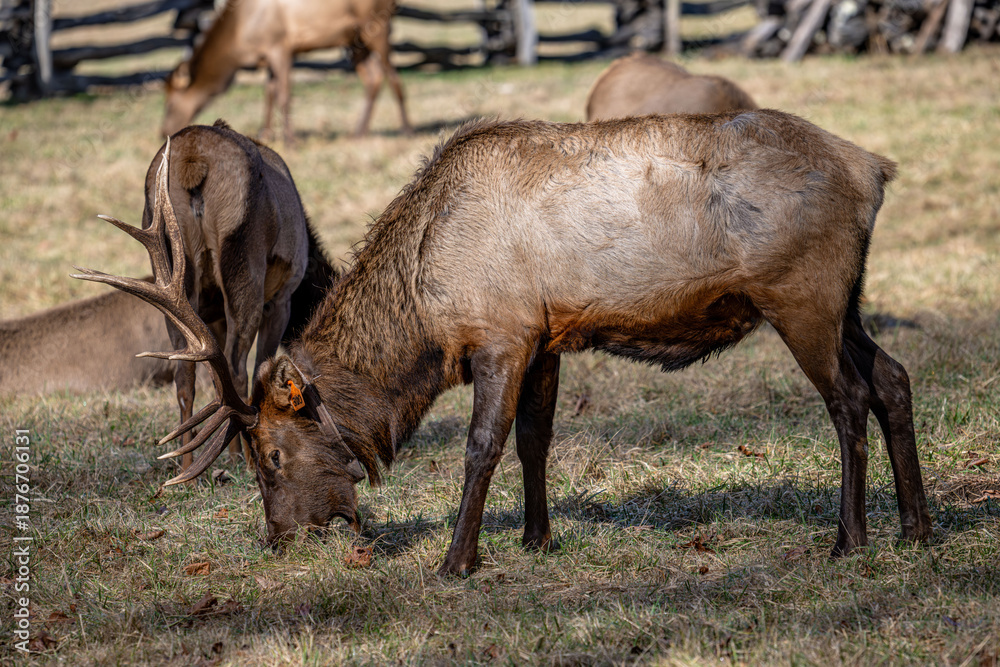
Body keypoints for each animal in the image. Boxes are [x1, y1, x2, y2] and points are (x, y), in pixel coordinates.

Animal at [137, 120, 335, 470]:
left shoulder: (213, 315)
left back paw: (188, 466)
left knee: (185, 373)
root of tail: (194, 161)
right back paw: (242, 459)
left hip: (174, 274)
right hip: (244, 260)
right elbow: (260, 369)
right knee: (235, 365)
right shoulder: (281, 298)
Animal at [161, 0, 412, 143]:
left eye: (170, 105)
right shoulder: (268, 57)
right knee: (373, 77)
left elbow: (284, 96)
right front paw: (265, 135)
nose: (163, 132)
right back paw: (358, 133)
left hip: (378, 25)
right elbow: (269, 94)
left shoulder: (280, 47)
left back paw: (406, 129)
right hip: (354, 38)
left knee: (393, 76)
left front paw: (291, 141)